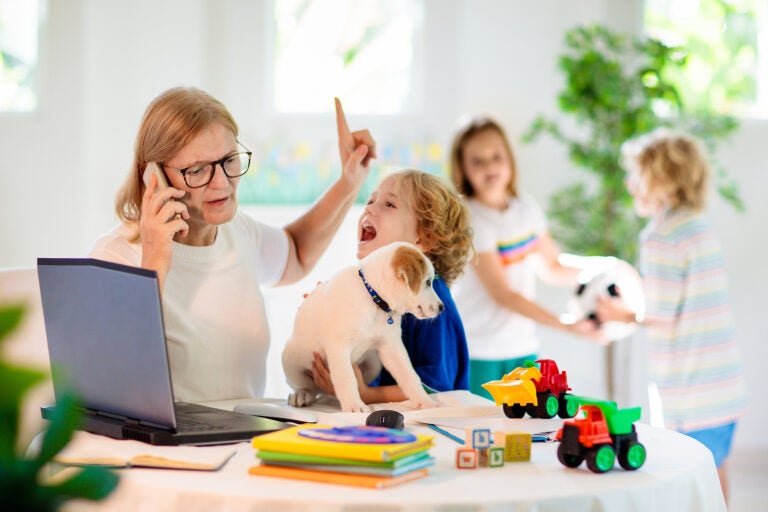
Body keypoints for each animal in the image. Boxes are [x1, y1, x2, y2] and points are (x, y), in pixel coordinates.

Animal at [282, 242, 440, 414]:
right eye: (428, 282)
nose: (442, 307)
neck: (372, 299)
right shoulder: (339, 348)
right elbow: (347, 378)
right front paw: (354, 406)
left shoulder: (392, 348)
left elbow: (410, 376)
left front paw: (426, 403)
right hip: (290, 361)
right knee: (308, 387)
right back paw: (301, 394)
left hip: (374, 364)